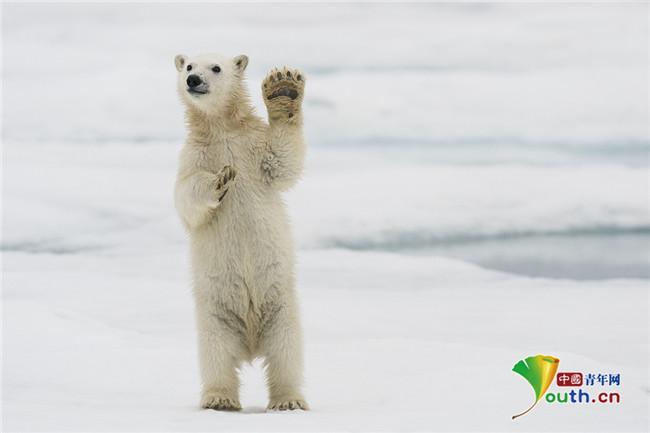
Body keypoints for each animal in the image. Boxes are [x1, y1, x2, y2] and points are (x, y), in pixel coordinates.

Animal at [173, 52, 308, 410]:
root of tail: (250, 343)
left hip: (281, 307)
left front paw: (283, 88)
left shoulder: (254, 148)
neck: (222, 130)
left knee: (287, 352)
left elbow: (282, 163)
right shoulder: (191, 156)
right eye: (188, 66)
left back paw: (288, 400)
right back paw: (220, 399)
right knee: (216, 355)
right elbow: (186, 197)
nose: (193, 80)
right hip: (214, 314)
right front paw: (220, 180)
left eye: (216, 67)